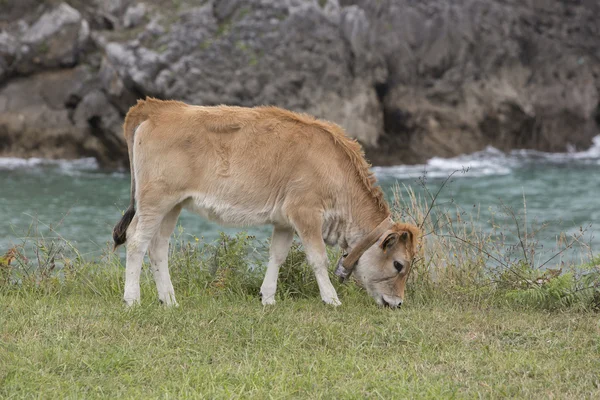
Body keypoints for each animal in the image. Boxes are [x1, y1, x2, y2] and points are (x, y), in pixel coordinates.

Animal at [112, 98, 422, 308]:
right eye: (399, 265)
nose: (397, 303)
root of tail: (159, 107)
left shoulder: (284, 220)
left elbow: (277, 256)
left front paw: (268, 298)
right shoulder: (305, 212)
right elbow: (317, 258)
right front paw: (332, 299)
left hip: (172, 205)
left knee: (158, 247)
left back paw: (169, 300)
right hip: (154, 200)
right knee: (137, 240)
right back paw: (132, 299)